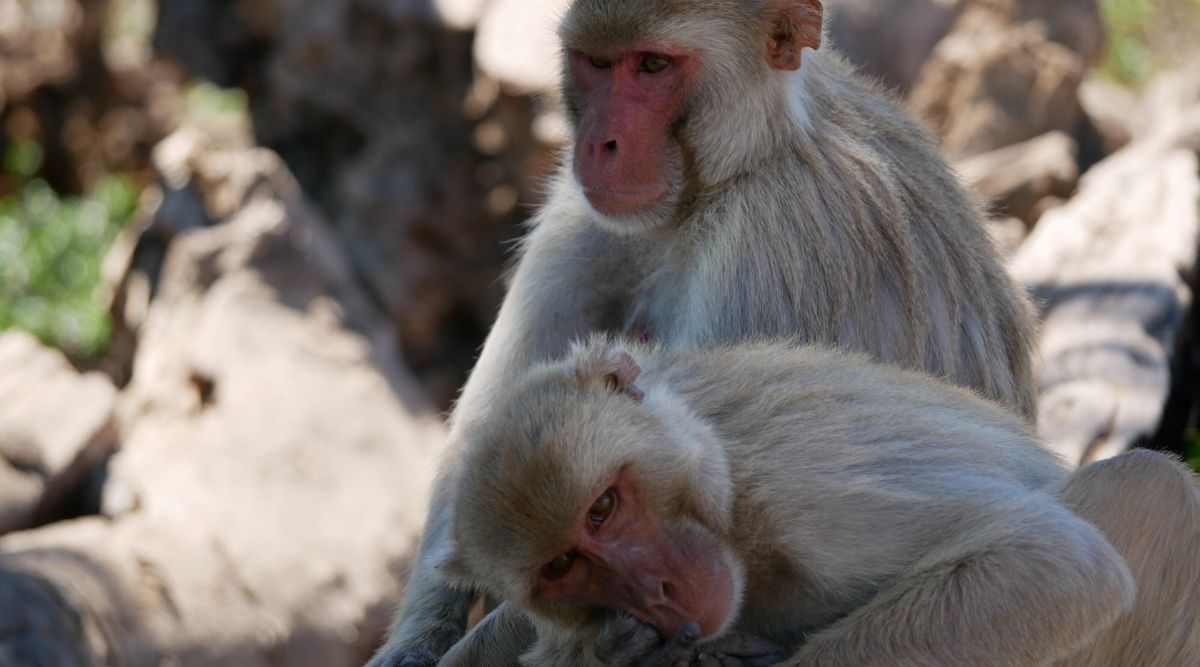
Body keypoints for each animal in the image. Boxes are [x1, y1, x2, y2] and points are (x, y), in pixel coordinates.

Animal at [369, 0, 1039, 664]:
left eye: (653, 65)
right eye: (597, 63)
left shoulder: (771, 242)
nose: (599, 143)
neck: (740, 165)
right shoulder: (580, 208)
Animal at [436, 337, 1200, 667]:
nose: (653, 590)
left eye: (602, 507)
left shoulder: (804, 489)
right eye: (562, 565)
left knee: (1149, 489)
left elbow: (1055, 564)